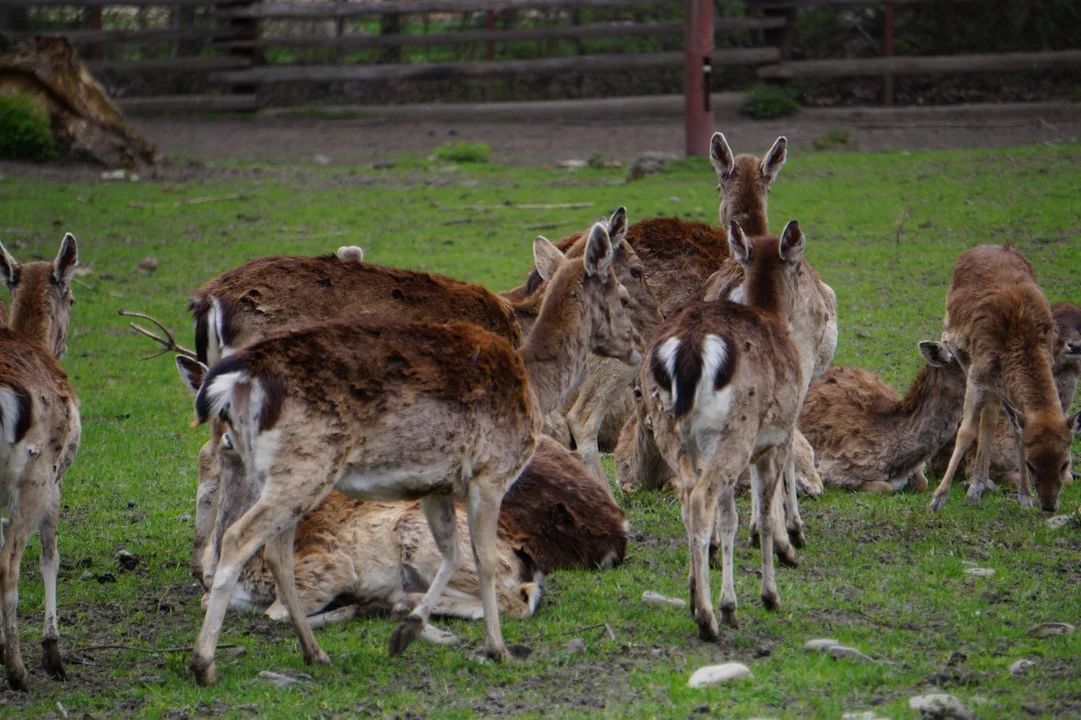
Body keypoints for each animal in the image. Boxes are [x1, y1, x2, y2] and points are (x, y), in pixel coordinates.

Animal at [635, 220, 808, 640]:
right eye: (798, 267)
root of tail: (689, 349)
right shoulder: (775, 439)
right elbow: (764, 516)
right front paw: (769, 594)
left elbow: (728, 520)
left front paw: (730, 603)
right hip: (735, 432)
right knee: (700, 499)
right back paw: (706, 618)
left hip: (671, 428)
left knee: (686, 497)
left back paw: (695, 596)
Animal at [929, 244, 1081, 512]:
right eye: (1031, 464)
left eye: (1065, 463)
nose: (1049, 505)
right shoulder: (977, 375)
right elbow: (965, 431)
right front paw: (937, 499)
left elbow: (1017, 431)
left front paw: (1025, 497)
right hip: (963, 354)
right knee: (984, 416)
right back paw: (975, 487)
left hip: (997, 384)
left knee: (990, 415)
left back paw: (979, 484)